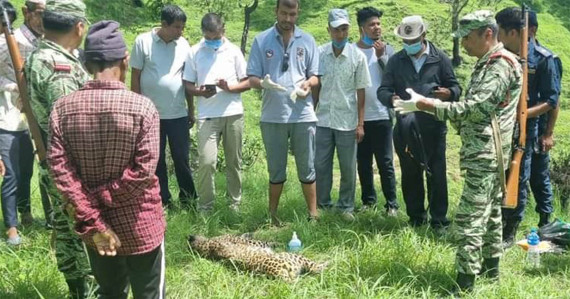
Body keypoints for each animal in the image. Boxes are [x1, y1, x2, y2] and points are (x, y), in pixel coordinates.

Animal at [189, 234, 326, 282]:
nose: (190, 236)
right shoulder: (248, 241)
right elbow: (266, 242)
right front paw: (278, 241)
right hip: (295, 257)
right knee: (315, 268)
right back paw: (327, 264)